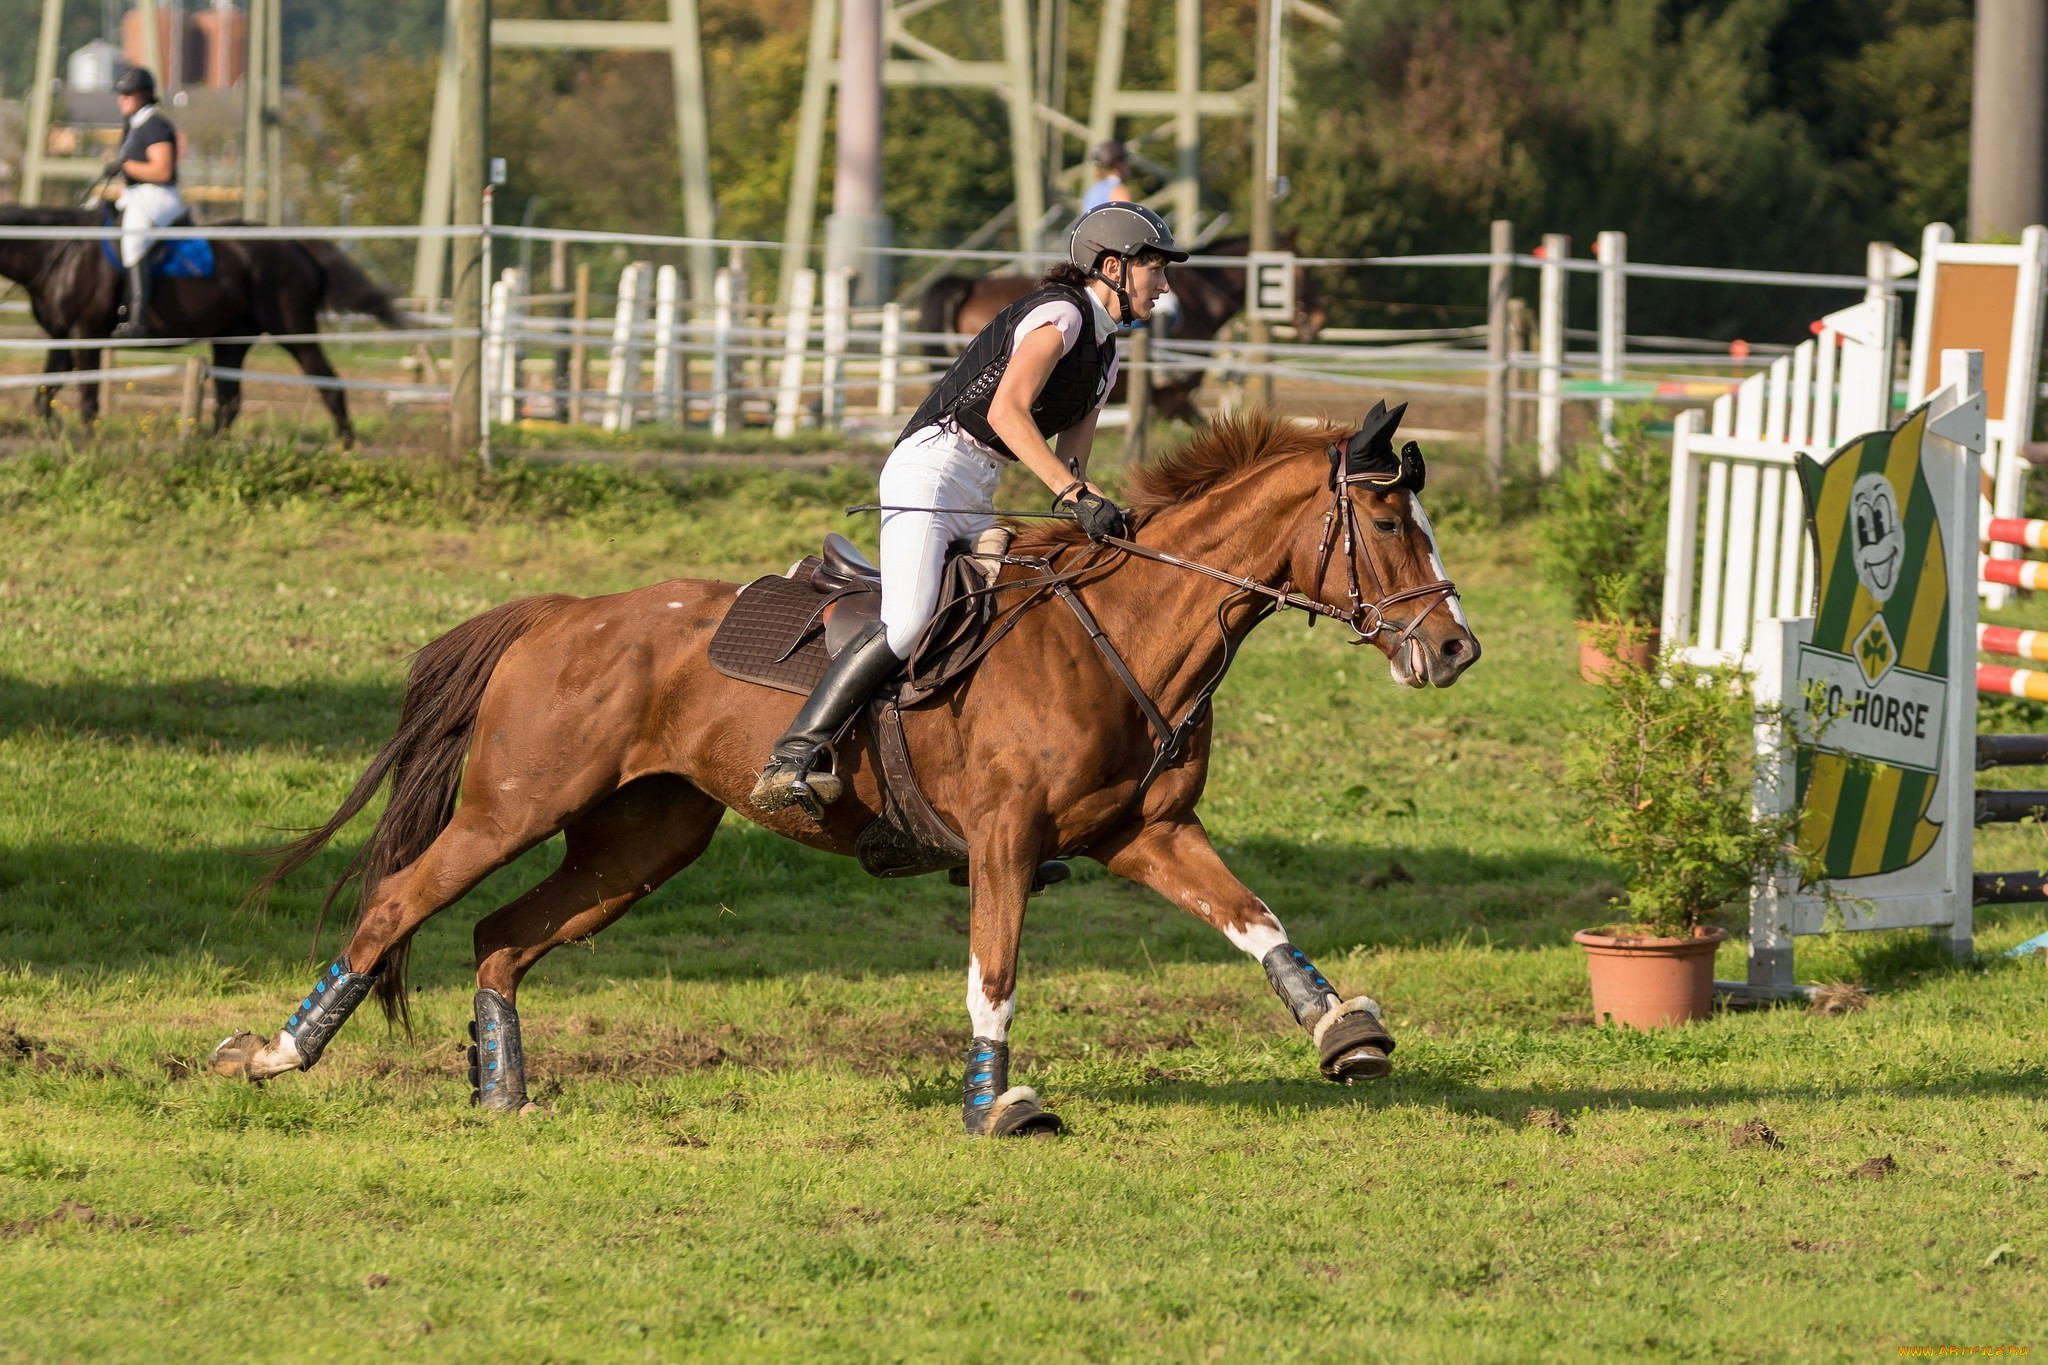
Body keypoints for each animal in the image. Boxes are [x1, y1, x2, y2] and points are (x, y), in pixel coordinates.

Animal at [0, 205, 407, 446]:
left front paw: (87, 443)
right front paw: (57, 437)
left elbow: (87, 398)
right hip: (232, 339)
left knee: (329, 384)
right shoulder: (62, 338)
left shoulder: (86, 336)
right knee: (230, 402)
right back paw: (210, 448)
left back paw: (345, 446)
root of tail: (295, 245)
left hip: (294, 331)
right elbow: (43, 396)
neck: (57, 251)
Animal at [216, 405, 1482, 1129]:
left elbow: (1257, 922)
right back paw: (274, 1054)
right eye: (1385, 527)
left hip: (642, 840)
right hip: (514, 805)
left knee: (497, 938)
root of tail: (560, 614)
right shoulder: (1005, 841)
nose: (1453, 649)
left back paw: (501, 1095)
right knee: (398, 902)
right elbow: (993, 974)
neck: (1128, 628)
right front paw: (995, 1106)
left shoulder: (1145, 834)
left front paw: (1344, 1034)